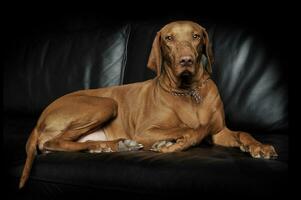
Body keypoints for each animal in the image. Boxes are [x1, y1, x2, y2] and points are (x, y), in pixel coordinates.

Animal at [18, 20, 276, 189]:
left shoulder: (219, 132)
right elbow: (191, 129)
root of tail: (40, 118)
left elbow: (242, 133)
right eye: (169, 38)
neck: (189, 91)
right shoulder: (145, 131)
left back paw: (110, 146)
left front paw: (259, 147)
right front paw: (169, 145)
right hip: (106, 103)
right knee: (51, 143)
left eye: (196, 36)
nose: (186, 61)